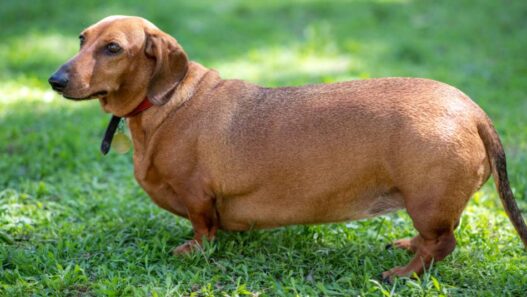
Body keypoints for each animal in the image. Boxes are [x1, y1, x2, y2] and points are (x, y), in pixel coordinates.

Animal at [49, 15, 527, 280]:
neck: (168, 103)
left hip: (426, 201)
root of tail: (472, 109)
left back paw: (403, 274)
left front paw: (192, 250)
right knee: (436, 240)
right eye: (81, 39)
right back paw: (408, 248)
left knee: (442, 244)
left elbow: (204, 229)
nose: (54, 80)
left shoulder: (198, 196)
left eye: (113, 48)